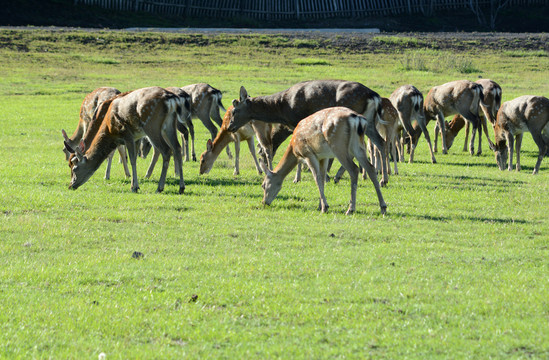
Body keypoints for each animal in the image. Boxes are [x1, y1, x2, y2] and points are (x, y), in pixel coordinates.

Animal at [225, 80, 388, 187]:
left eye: (234, 111)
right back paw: (383, 179)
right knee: (381, 142)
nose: (230, 127)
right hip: (369, 122)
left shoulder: (298, 121)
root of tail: (374, 96)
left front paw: (297, 178)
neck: (282, 108)